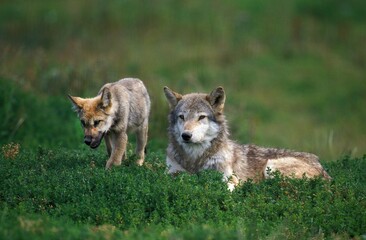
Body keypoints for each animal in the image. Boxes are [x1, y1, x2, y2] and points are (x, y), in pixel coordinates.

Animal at [164, 86, 330, 191]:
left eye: (201, 117)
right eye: (182, 117)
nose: (186, 135)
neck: (195, 160)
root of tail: (323, 169)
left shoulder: (230, 178)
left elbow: (227, 188)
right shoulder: (171, 174)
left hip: (271, 166)